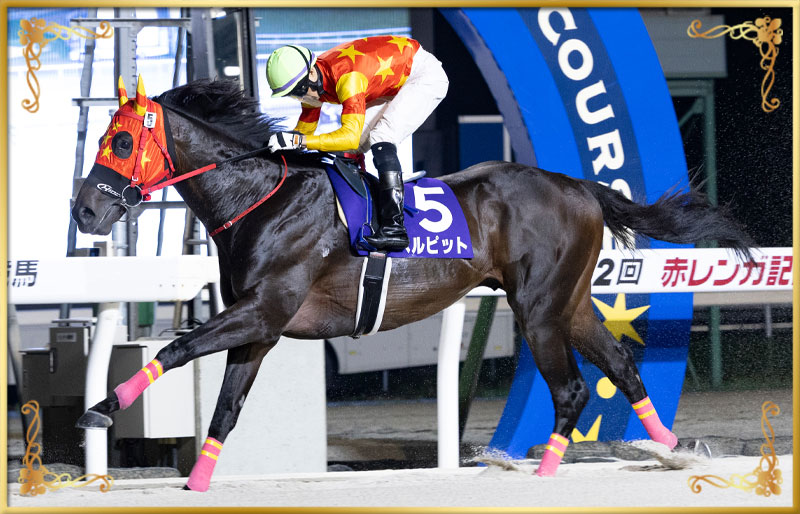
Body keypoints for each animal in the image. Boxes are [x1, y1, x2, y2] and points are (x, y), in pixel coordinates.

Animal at [72, 78, 754, 491]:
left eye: (122, 140)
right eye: (106, 136)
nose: (84, 211)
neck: (261, 197)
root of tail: (579, 186)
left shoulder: (265, 309)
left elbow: (177, 346)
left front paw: (102, 409)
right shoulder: (260, 327)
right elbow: (226, 406)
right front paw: (198, 481)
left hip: (539, 309)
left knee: (572, 390)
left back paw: (544, 475)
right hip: (574, 303)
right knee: (623, 368)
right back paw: (672, 449)